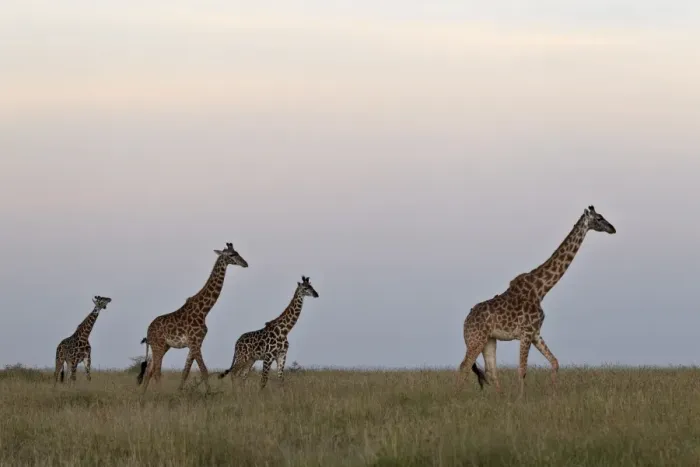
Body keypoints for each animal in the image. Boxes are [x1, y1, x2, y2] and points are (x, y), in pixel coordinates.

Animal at [136, 242, 249, 393]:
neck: (204, 311)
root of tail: (147, 331)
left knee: (149, 370)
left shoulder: (195, 343)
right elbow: (204, 370)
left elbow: (185, 372)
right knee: (157, 371)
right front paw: (209, 394)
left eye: (238, 252)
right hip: (158, 345)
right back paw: (158, 394)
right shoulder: (195, 343)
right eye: (232, 254)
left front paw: (179, 392)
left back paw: (142, 396)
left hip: (163, 346)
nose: (245, 263)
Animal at [458, 205, 616, 396]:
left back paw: (500, 397)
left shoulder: (535, 333)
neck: (541, 290)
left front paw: (553, 395)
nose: (613, 228)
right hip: (476, 339)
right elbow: (522, 369)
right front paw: (520, 398)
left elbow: (555, 362)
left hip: (489, 340)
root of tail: (466, 320)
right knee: (464, 367)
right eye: (599, 218)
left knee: (491, 370)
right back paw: (457, 396)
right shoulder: (526, 332)